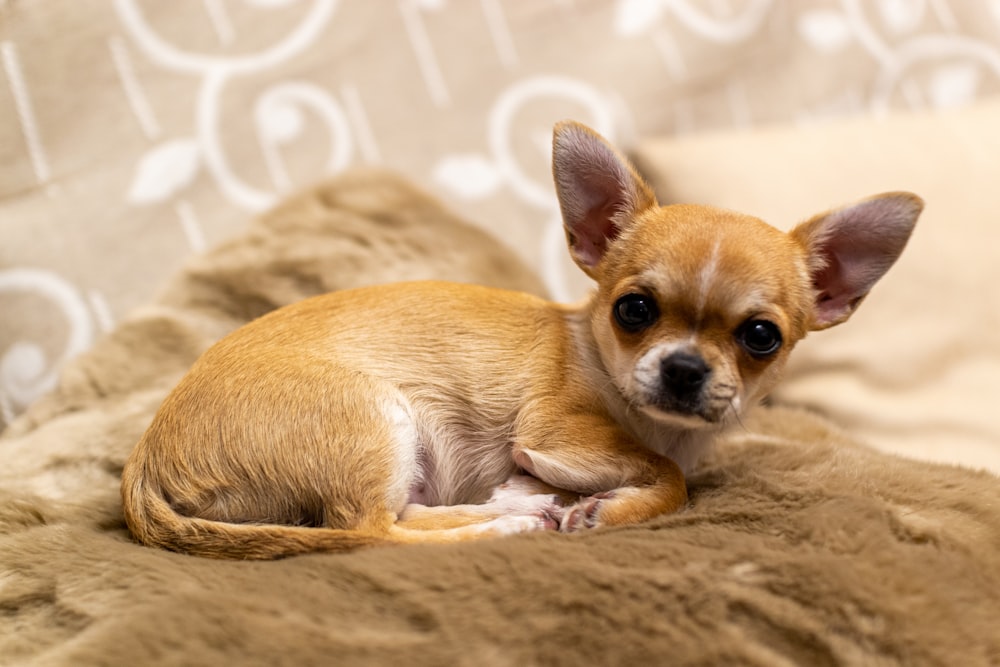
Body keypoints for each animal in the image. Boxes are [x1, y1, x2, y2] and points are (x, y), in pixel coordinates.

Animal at [119, 121, 920, 560]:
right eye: (634, 310)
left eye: (761, 336)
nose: (686, 368)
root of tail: (144, 466)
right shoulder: (555, 429)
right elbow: (671, 477)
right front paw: (609, 506)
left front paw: (563, 495)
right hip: (378, 418)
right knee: (370, 530)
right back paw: (506, 527)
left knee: (403, 515)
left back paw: (512, 509)